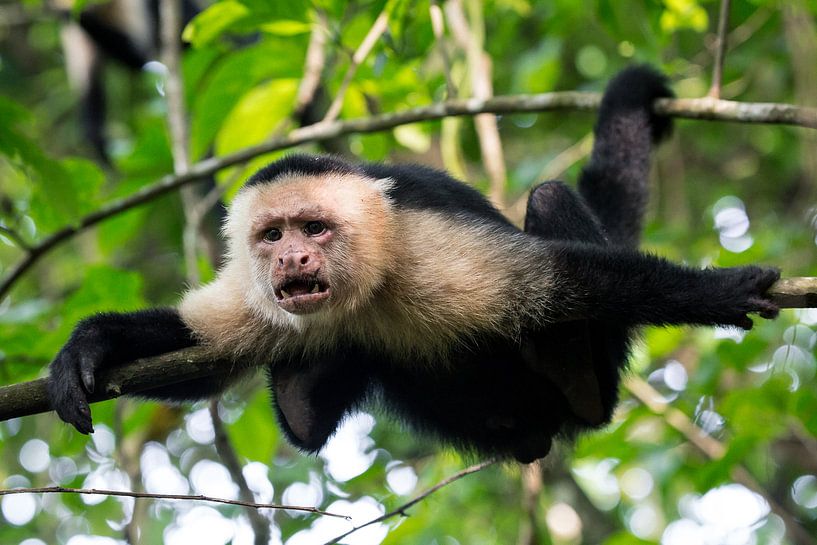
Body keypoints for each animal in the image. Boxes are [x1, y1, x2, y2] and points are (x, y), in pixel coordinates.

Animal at [47, 66, 780, 462]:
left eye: (315, 228)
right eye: (272, 235)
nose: (293, 256)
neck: (367, 286)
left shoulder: (428, 251)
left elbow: (563, 281)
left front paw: (716, 292)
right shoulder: (256, 294)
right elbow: (202, 350)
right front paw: (91, 345)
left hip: (591, 392)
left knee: (554, 221)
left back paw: (574, 369)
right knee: (311, 406)